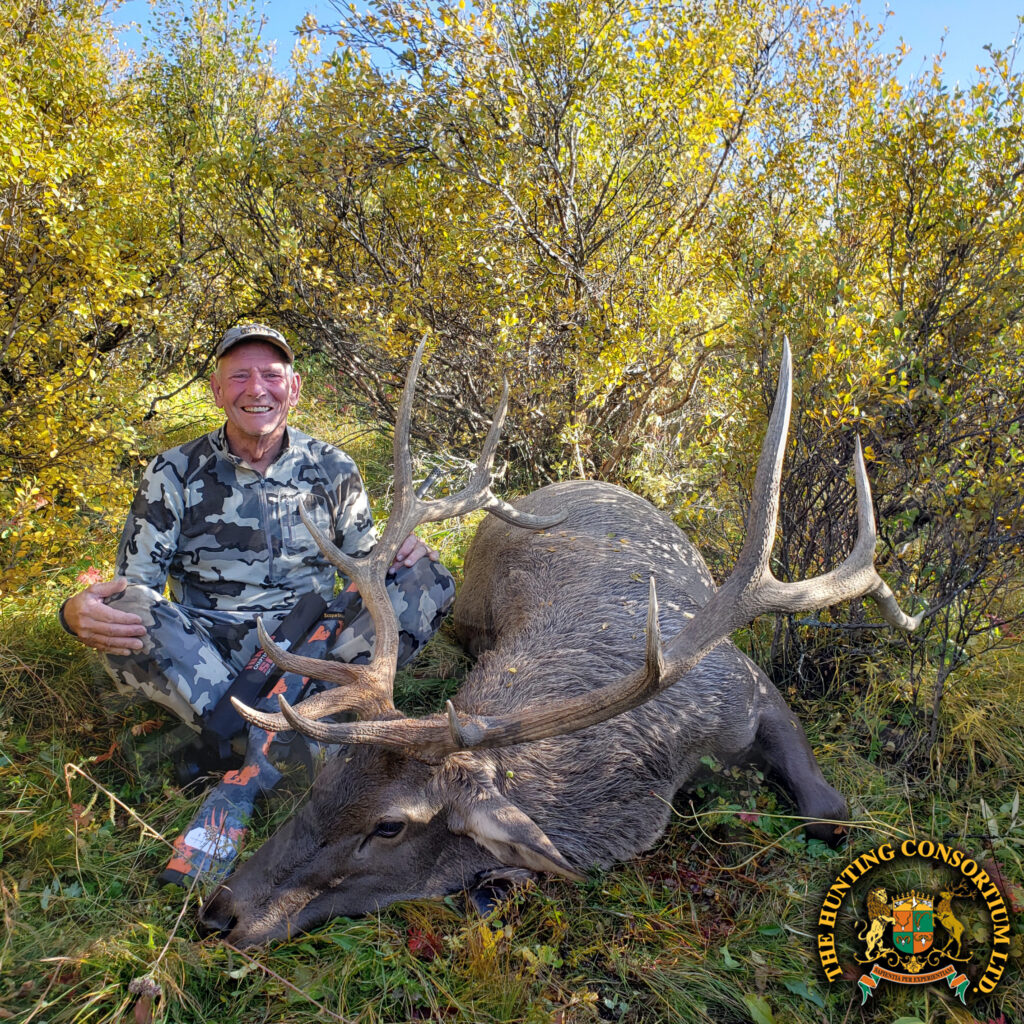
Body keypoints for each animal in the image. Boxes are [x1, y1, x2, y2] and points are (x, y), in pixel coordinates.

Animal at [198, 339, 921, 947]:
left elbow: (832, 811)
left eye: (389, 825)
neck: (663, 758)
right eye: (323, 778)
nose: (221, 911)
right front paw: (499, 879)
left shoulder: (749, 685)